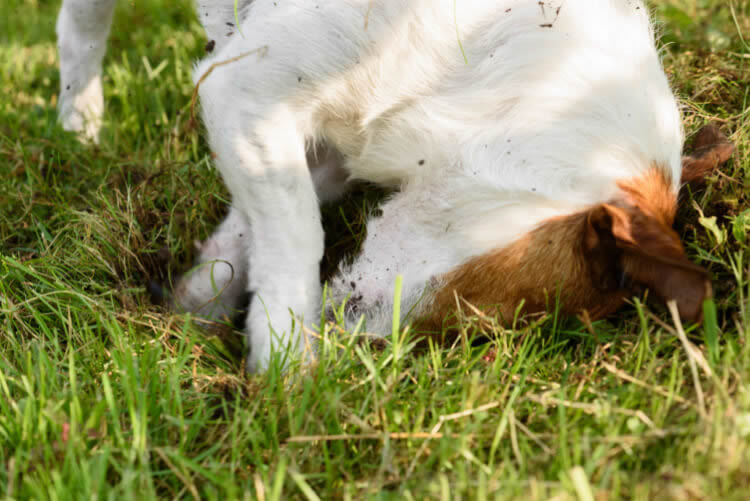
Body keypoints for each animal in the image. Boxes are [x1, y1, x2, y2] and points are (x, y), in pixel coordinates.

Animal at [55, 0, 724, 372]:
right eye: (475, 302)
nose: (354, 349)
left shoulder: (318, 153)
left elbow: (245, 237)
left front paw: (194, 310)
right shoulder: (242, 90)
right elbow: (295, 237)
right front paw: (286, 370)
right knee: (79, 26)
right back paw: (77, 126)